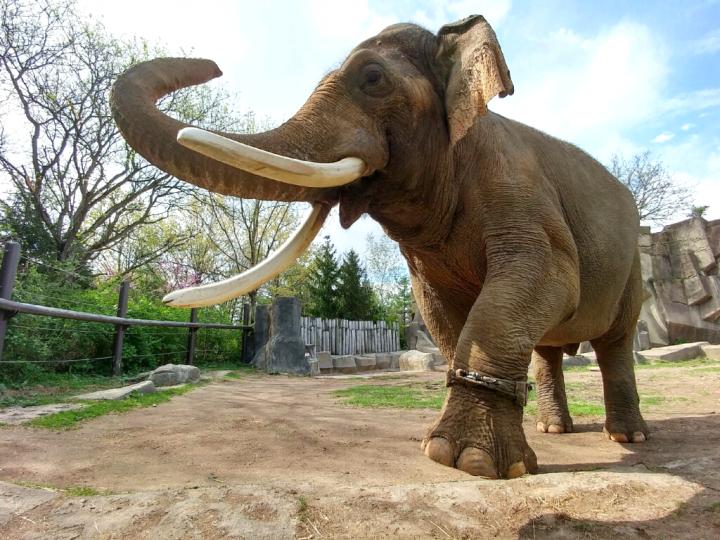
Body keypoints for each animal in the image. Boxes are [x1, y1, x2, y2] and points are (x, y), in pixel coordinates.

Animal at [111, 12, 648, 478]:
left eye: (373, 78)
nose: (212, 65)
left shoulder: (518, 189)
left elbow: (544, 276)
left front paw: (470, 462)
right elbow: (440, 313)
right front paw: (459, 453)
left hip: (632, 267)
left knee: (615, 342)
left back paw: (628, 438)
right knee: (551, 349)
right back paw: (554, 428)